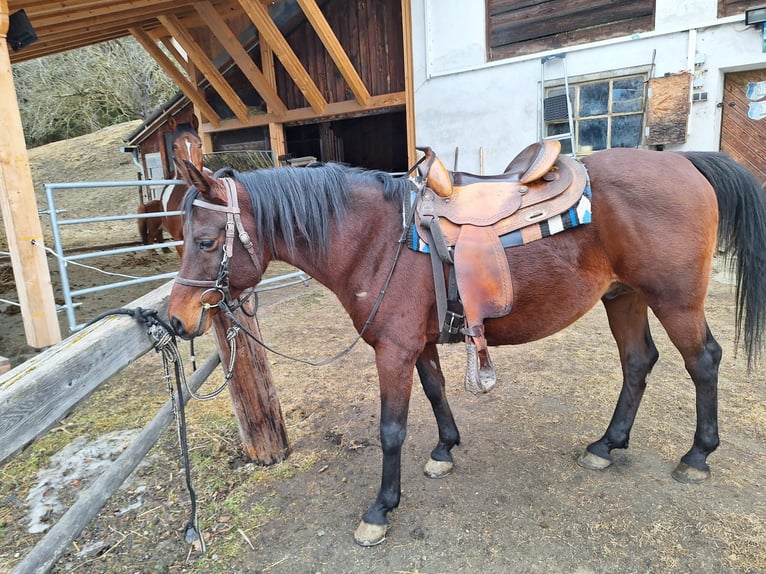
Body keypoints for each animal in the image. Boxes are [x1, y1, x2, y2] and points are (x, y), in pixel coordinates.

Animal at [166, 147, 766, 547]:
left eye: (205, 241)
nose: (175, 319)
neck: (373, 239)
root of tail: (684, 161)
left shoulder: (393, 349)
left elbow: (390, 429)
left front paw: (380, 509)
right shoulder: (416, 342)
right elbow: (435, 392)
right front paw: (445, 449)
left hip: (675, 300)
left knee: (702, 362)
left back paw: (697, 456)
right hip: (624, 297)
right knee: (638, 362)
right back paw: (606, 444)